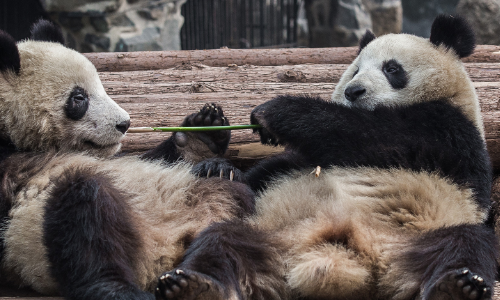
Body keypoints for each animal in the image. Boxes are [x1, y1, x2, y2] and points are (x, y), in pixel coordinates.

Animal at [0, 19, 252, 298]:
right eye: (79, 98)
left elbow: (150, 157)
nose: (124, 123)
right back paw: (119, 288)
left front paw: (202, 138)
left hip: (217, 205)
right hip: (42, 234)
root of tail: (166, 253)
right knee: (87, 218)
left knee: (224, 230)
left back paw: (199, 283)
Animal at [155, 15, 496, 300]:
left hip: (420, 236)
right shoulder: (299, 161)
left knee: (467, 244)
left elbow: (375, 135)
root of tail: (340, 261)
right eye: (355, 70)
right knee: (219, 241)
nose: (354, 91)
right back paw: (195, 286)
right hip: (270, 237)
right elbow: (265, 174)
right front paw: (216, 167)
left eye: (391, 68)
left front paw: (275, 112)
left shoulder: (450, 129)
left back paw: (455, 287)